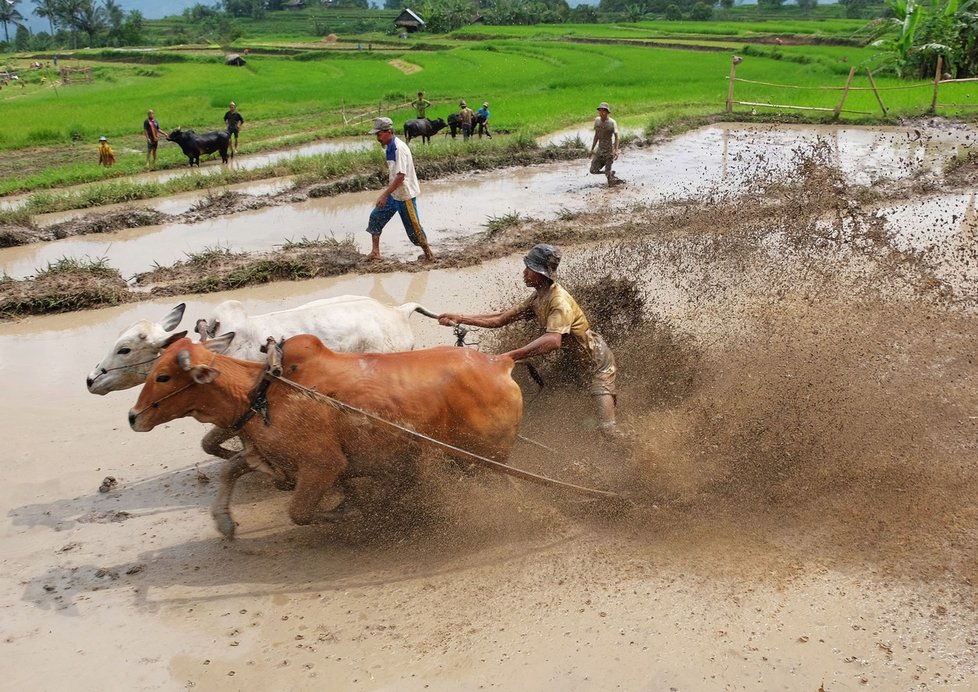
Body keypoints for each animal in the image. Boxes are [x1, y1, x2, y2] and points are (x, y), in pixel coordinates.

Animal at [132, 334, 528, 536]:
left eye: (163, 376)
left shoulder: (322, 465)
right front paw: (224, 522)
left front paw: (356, 512)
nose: (133, 416)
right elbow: (229, 469)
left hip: (488, 460)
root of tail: (499, 362)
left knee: (512, 491)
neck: (260, 393)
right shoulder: (271, 456)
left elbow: (300, 513)